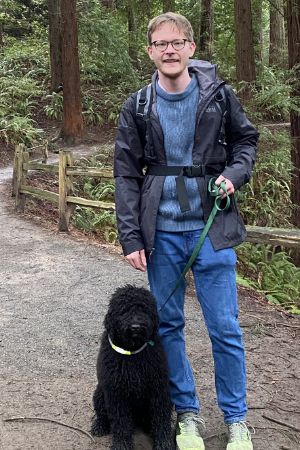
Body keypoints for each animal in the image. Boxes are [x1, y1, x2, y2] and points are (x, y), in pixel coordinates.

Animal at [90, 284, 172, 450]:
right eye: (124, 310)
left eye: (144, 309)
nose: (135, 327)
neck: (132, 353)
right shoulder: (117, 394)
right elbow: (121, 424)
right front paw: (121, 445)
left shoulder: (158, 390)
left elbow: (161, 418)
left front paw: (164, 443)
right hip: (100, 393)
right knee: (103, 415)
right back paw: (99, 426)